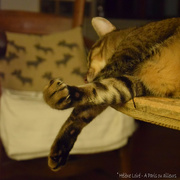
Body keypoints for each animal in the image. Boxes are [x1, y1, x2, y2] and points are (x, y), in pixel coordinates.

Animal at [43, 17, 180, 171]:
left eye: (89, 57)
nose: (84, 78)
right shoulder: (130, 83)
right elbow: (87, 103)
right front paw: (59, 151)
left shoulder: (120, 62)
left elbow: (86, 98)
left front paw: (51, 96)